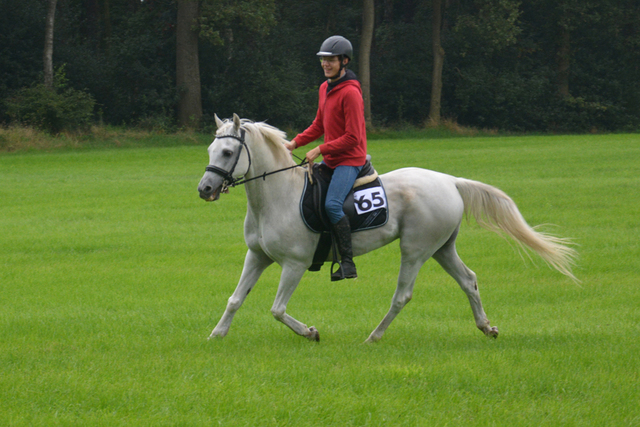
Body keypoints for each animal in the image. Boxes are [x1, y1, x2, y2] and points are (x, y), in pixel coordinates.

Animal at [198, 114, 576, 344]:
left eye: (228, 151)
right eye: (211, 149)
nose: (204, 189)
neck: (278, 196)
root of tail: (451, 181)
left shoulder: (294, 264)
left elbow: (277, 309)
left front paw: (311, 332)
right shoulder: (257, 256)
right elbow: (235, 299)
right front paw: (216, 335)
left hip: (416, 249)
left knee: (402, 295)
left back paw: (374, 336)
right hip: (442, 248)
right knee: (468, 280)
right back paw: (487, 327)